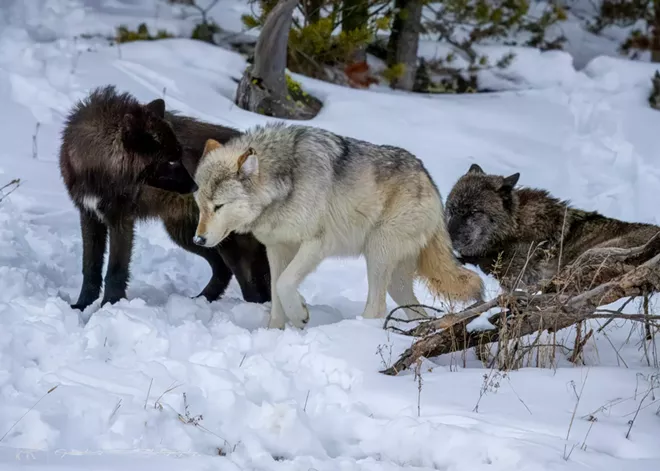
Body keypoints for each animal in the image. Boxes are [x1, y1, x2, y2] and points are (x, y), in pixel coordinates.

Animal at [58, 86, 270, 312]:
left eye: (179, 155)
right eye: (170, 160)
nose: (196, 186)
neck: (99, 171)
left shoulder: (121, 221)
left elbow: (116, 270)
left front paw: (110, 306)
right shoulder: (89, 216)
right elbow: (90, 267)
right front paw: (82, 306)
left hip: (229, 244)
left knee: (253, 286)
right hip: (187, 235)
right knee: (224, 270)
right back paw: (202, 299)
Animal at [188, 123, 482, 330]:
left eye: (219, 206)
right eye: (201, 205)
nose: (198, 240)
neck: (286, 181)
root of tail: (430, 180)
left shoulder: (317, 244)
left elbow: (284, 284)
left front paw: (300, 314)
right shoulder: (276, 249)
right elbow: (276, 293)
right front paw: (274, 332)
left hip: (377, 252)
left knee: (376, 308)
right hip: (396, 280)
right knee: (413, 310)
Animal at [444, 163, 660, 292]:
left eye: (474, 212)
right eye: (452, 209)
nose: (446, 238)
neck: (514, 227)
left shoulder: (511, 273)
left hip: (590, 256)